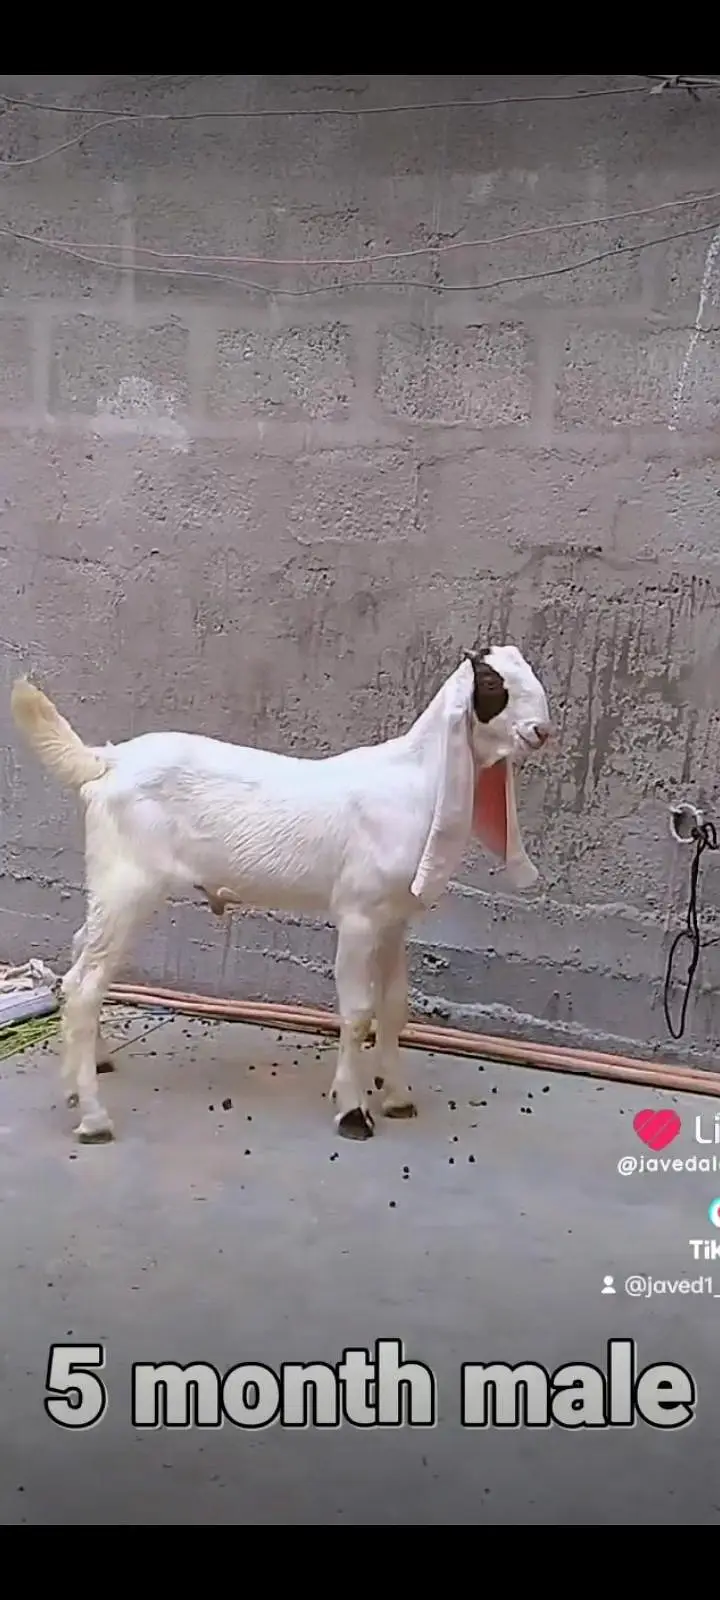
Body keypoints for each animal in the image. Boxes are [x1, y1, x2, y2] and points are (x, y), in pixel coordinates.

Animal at [10, 645, 552, 1146]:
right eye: (491, 681)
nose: (542, 731)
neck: (414, 784)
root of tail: (107, 759)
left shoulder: (394, 918)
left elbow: (394, 1006)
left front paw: (398, 1098)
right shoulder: (358, 914)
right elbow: (358, 1011)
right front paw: (353, 1111)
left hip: (112, 883)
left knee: (80, 953)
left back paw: (89, 1071)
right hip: (130, 882)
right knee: (85, 985)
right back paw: (94, 1118)